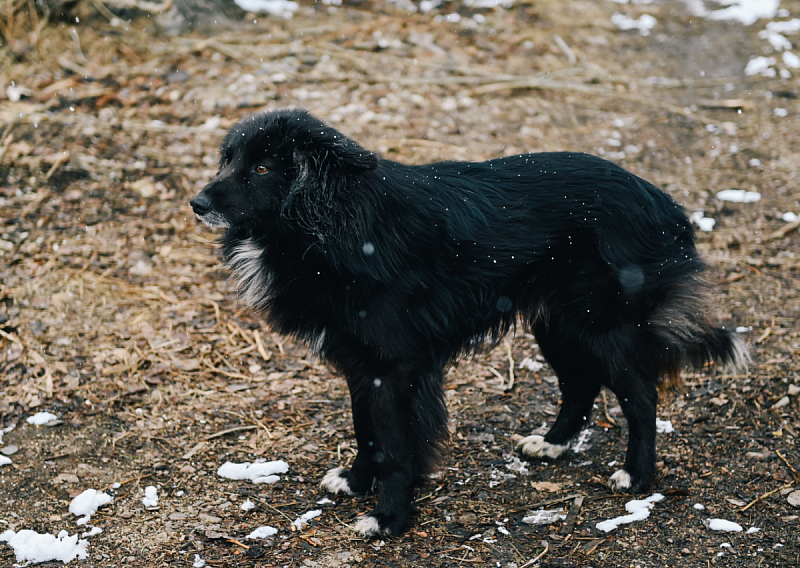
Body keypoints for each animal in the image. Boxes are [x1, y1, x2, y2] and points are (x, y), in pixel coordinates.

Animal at [191, 107, 748, 536]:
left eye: (264, 168)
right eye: (228, 160)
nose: (196, 203)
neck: (331, 224)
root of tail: (666, 204)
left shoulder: (395, 367)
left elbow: (396, 446)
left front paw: (389, 518)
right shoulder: (360, 363)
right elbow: (366, 430)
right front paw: (355, 481)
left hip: (602, 325)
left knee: (641, 398)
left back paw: (637, 477)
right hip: (557, 323)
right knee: (581, 383)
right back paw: (552, 443)